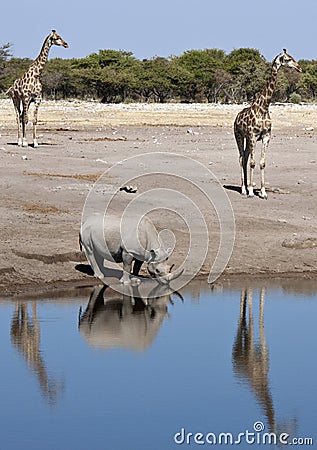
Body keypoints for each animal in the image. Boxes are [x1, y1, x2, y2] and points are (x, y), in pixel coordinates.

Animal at [233, 49, 300, 199]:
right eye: (288, 59)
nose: (299, 68)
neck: (263, 108)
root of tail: (236, 118)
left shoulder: (265, 137)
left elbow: (262, 163)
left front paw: (263, 192)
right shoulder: (253, 136)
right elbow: (253, 163)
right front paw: (251, 191)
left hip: (248, 139)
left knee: (245, 157)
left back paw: (246, 186)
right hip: (239, 136)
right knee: (241, 158)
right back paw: (244, 189)